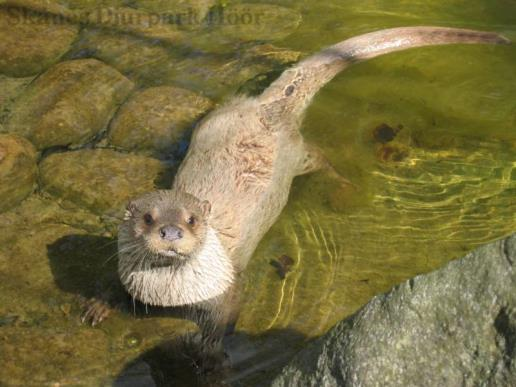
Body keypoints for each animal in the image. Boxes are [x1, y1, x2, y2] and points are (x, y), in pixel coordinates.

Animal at [86, 27, 510, 354]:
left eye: (192, 220)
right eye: (148, 218)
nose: (171, 232)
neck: (171, 296)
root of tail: (267, 108)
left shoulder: (228, 290)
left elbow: (223, 321)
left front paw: (209, 347)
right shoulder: (130, 278)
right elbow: (113, 289)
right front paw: (97, 306)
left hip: (297, 154)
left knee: (322, 158)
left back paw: (345, 187)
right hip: (215, 121)